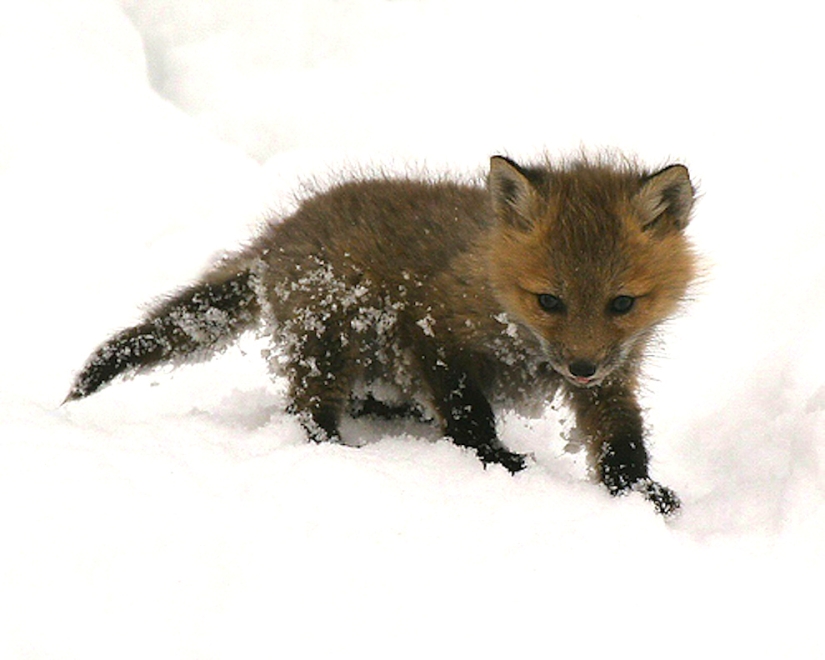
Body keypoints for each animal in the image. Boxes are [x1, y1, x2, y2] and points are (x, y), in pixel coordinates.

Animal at [66, 155, 696, 516]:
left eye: (622, 303)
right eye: (550, 301)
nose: (581, 367)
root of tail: (277, 236)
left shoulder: (613, 375)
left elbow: (622, 442)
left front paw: (638, 494)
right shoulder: (433, 331)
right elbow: (469, 416)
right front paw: (498, 462)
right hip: (330, 337)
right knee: (307, 410)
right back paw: (340, 449)